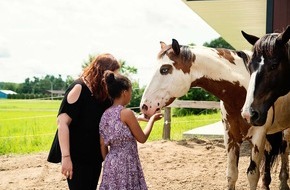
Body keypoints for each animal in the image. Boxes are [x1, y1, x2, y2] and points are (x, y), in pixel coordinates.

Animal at [140, 39, 290, 190]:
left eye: (165, 69)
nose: (144, 106)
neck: (240, 94)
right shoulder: (230, 137)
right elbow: (231, 175)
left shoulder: (258, 136)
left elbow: (252, 175)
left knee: (284, 151)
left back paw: (283, 183)